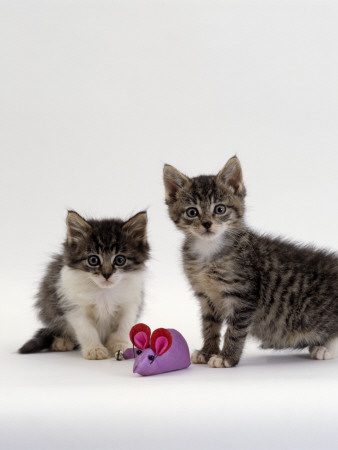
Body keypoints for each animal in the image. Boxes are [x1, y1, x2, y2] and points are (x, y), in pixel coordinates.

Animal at [18, 209, 149, 360]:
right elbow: (87, 330)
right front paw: (95, 349)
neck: (103, 292)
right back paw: (62, 342)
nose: (106, 274)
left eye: (120, 260)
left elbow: (123, 328)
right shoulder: (74, 306)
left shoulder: (129, 304)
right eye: (93, 260)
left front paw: (120, 346)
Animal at [164, 156, 338, 368]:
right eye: (192, 212)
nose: (206, 224)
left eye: (219, 209)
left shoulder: (243, 295)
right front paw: (207, 351)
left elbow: (235, 330)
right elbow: (209, 326)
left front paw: (227, 357)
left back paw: (326, 348)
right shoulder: (205, 296)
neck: (210, 251)